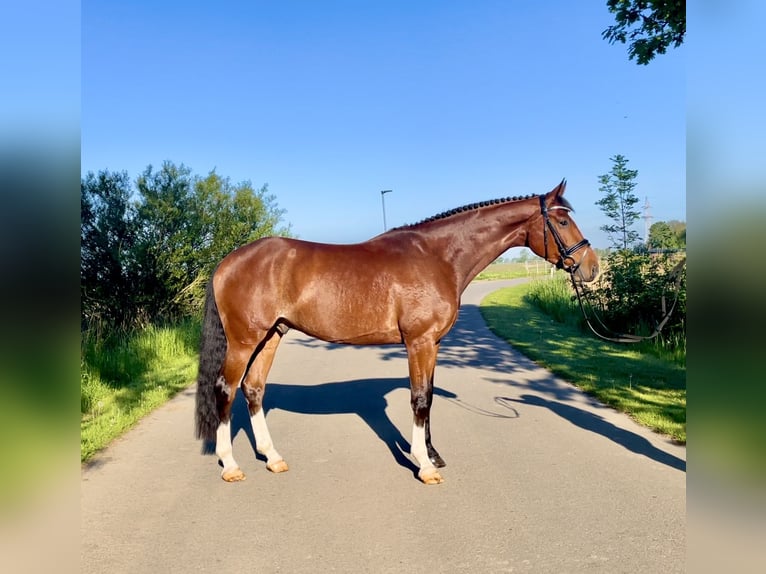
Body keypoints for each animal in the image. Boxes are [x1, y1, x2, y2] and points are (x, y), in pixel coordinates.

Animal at [196, 180, 600, 486]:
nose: (592, 267)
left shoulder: (433, 343)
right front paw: (424, 465)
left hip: (271, 336)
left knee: (254, 389)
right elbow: (419, 399)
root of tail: (227, 262)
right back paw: (231, 465)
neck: (438, 257)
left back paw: (273, 457)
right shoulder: (419, 341)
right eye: (562, 221)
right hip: (244, 340)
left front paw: (433, 455)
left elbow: (429, 396)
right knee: (226, 389)